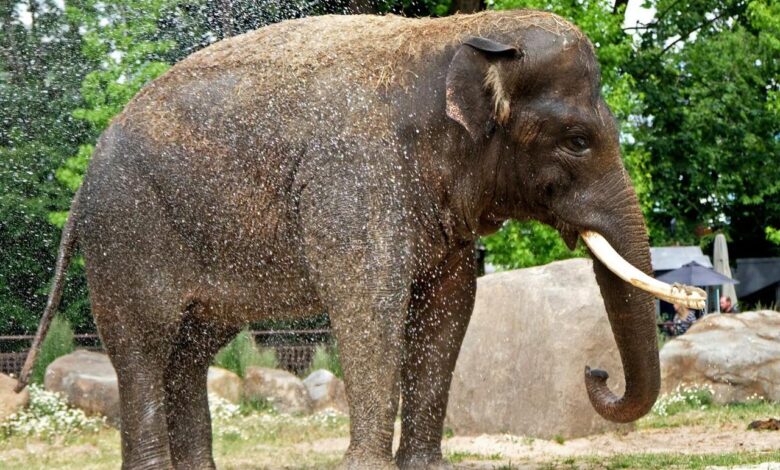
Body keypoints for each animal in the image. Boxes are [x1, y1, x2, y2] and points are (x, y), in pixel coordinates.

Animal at [17, 10, 705, 470]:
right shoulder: (353, 176)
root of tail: (82, 185)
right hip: (127, 234)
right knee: (144, 348)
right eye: (578, 141)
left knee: (189, 351)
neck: (452, 37)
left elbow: (449, 309)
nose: (595, 371)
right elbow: (369, 307)